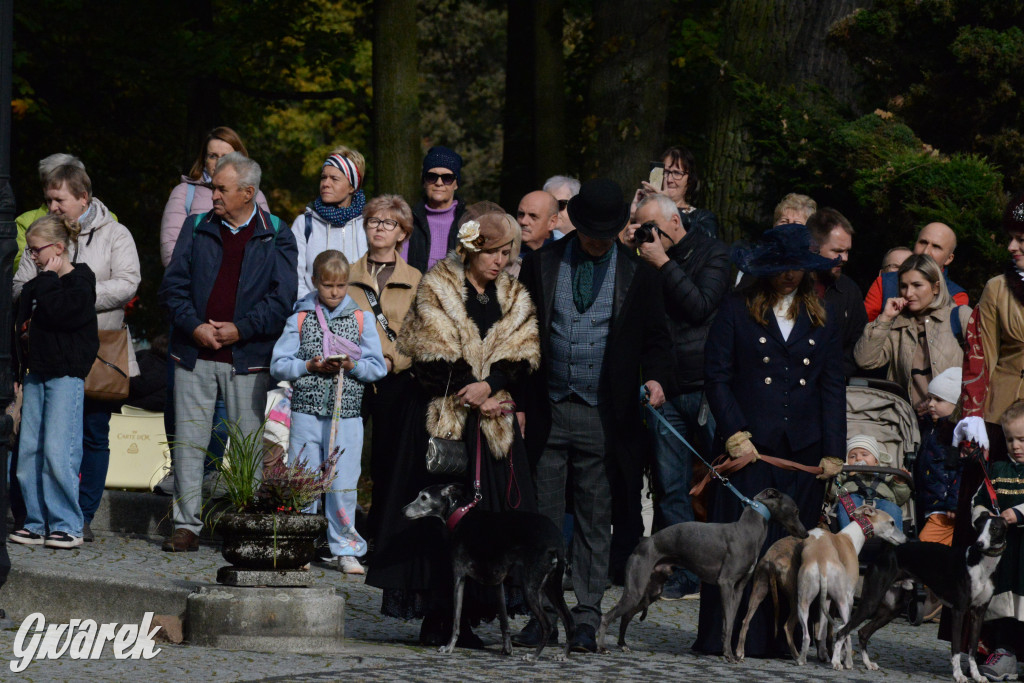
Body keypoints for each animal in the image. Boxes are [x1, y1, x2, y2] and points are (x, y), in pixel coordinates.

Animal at [401, 483, 577, 659]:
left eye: (424, 497)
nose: (403, 511)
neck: (461, 515)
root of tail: (557, 540)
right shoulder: (497, 581)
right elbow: (504, 619)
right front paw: (507, 649)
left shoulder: (459, 576)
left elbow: (456, 618)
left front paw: (449, 646)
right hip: (551, 586)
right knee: (569, 620)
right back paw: (564, 655)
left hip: (531, 587)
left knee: (547, 625)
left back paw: (534, 656)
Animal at [835, 516, 1011, 679]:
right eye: (979, 528)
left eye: (994, 529)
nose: (979, 544)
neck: (981, 565)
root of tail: (883, 555)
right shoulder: (958, 611)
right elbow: (955, 648)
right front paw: (958, 675)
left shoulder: (978, 613)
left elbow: (973, 648)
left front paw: (976, 675)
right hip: (871, 602)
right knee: (841, 631)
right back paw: (836, 662)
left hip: (891, 610)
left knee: (863, 632)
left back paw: (867, 663)